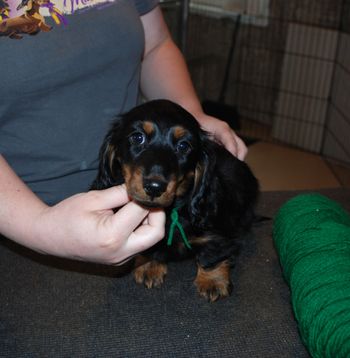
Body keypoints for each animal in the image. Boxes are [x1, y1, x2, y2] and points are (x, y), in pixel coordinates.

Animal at [91, 98, 258, 302]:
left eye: (183, 146)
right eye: (138, 137)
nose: (154, 187)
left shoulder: (220, 232)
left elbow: (214, 252)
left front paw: (213, 280)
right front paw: (150, 264)